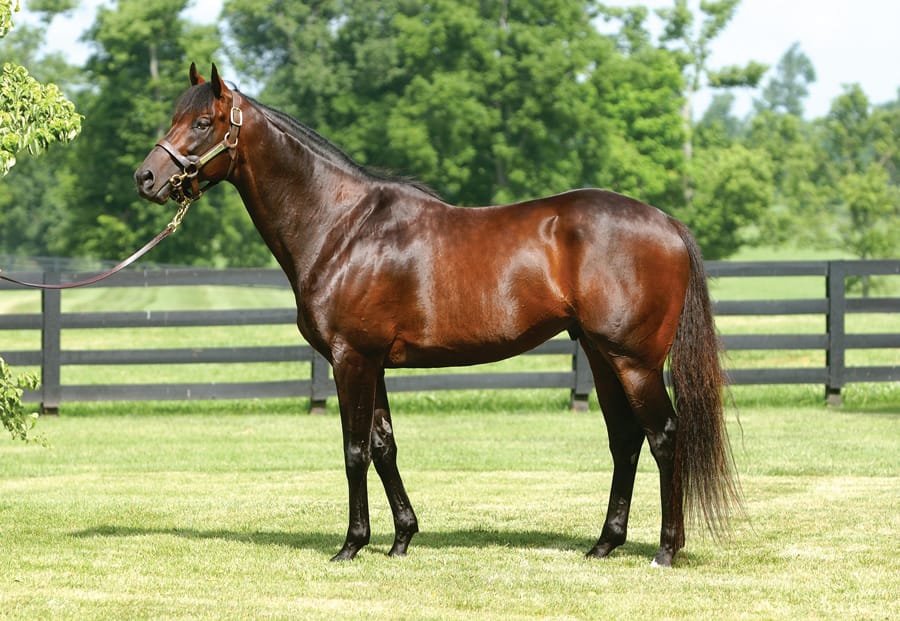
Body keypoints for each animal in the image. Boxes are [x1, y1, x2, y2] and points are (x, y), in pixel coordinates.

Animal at [135, 63, 740, 567]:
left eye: (203, 122)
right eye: (176, 117)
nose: (146, 178)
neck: (341, 226)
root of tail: (667, 223)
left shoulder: (350, 359)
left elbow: (354, 450)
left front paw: (351, 545)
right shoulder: (372, 362)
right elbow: (384, 446)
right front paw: (401, 538)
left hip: (633, 360)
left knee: (664, 436)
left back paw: (666, 549)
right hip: (600, 354)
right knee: (625, 439)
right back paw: (604, 544)